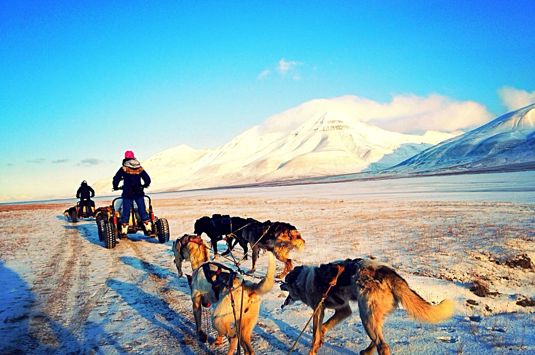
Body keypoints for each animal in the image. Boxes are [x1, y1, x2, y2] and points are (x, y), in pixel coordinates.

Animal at [282, 258, 454, 355]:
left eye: (286, 280)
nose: (279, 284)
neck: (304, 279)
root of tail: (388, 273)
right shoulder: (344, 310)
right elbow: (323, 328)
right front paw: (320, 341)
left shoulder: (319, 310)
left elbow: (315, 333)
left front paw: (313, 349)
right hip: (372, 316)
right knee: (377, 339)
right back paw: (366, 351)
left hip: (365, 316)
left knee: (382, 346)